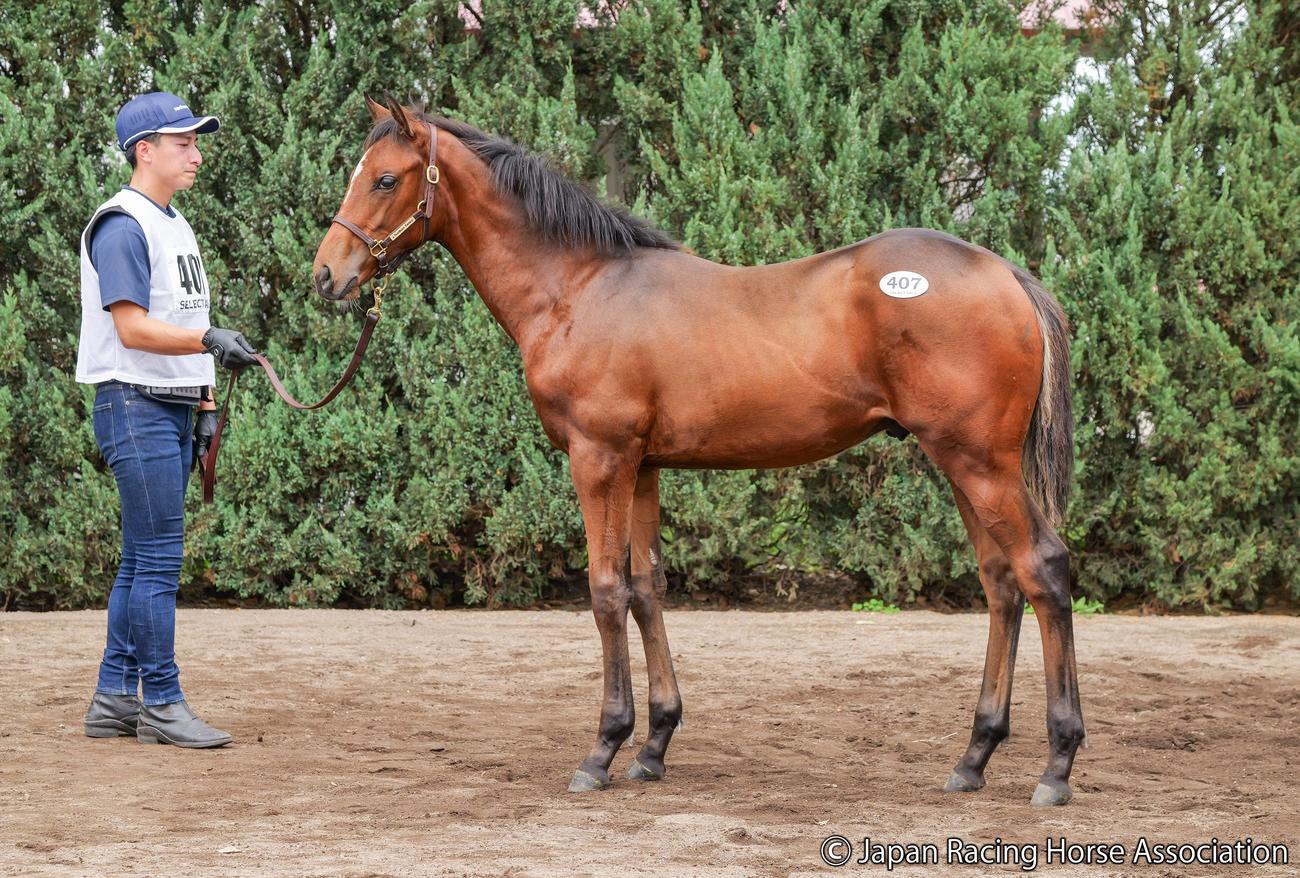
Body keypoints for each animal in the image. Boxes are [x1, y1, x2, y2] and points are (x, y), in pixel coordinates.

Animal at [311, 95, 1085, 807]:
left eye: (384, 179)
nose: (325, 276)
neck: (579, 288)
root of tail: (1007, 275)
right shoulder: (644, 468)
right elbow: (647, 589)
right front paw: (653, 744)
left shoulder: (598, 459)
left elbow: (605, 591)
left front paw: (602, 749)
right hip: (958, 462)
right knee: (1001, 584)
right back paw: (974, 757)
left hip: (979, 463)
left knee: (1042, 570)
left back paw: (1056, 766)